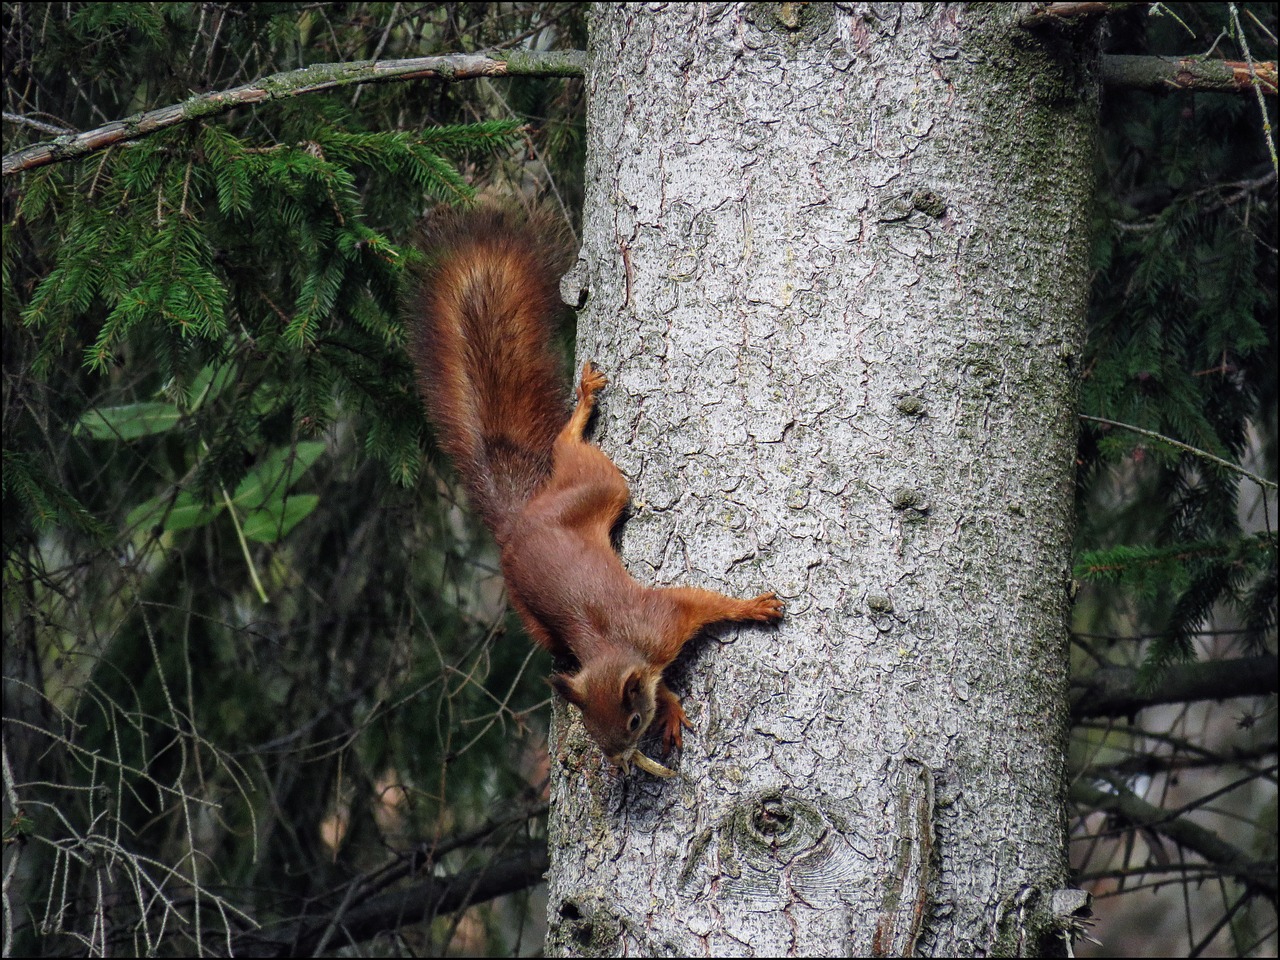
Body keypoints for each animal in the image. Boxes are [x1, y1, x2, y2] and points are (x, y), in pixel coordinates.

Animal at [414, 207, 783, 778]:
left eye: (630, 723)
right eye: (592, 729)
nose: (620, 760)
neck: (618, 649)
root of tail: (518, 521)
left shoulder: (665, 619)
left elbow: (705, 602)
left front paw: (752, 609)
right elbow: (671, 663)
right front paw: (671, 707)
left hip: (597, 489)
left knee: (573, 453)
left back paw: (584, 403)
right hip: (548, 580)